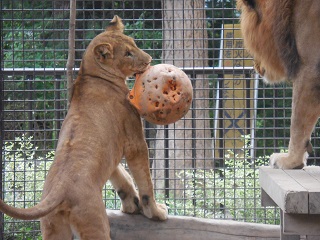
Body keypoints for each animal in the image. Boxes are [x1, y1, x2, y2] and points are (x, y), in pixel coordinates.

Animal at [0, 15, 169, 239]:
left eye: (133, 44)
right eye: (127, 53)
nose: (149, 59)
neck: (90, 75)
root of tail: (60, 190)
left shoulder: (112, 149)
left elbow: (120, 176)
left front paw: (131, 205)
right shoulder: (135, 141)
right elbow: (144, 181)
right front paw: (155, 212)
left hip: (54, 229)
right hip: (95, 225)